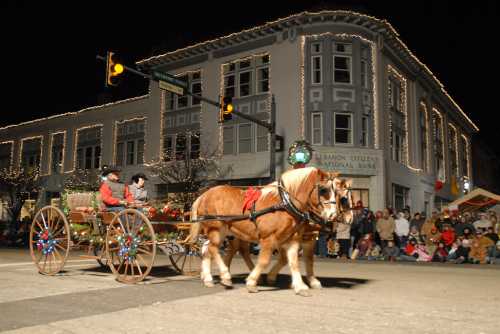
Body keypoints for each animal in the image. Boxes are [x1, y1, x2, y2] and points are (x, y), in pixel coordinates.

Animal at [189, 167, 342, 294]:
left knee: (208, 250)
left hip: (224, 232)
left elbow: (293, 262)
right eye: (323, 190)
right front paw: (252, 282)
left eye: (336, 191)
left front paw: (300, 286)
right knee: (213, 249)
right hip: (215, 229)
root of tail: (204, 195)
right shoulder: (269, 238)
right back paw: (225, 276)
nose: (333, 215)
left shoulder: (292, 239)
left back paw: (209, 278)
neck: (284, 204)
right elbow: (264, 261)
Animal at [223, 177, 356, 290]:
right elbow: (291, 258)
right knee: (239, 249)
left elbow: (301, 259)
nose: (350, 219)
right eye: (344, 199)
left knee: (237, 249)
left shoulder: (306, 237)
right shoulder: (295, 237)